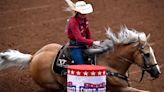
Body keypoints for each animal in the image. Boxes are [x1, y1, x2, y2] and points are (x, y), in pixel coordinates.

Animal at [0, 25, 161, 91]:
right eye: (147, 54)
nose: (157, 72)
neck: (110, 64)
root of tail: (33, 58)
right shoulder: (120, 89)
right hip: (53, 87)